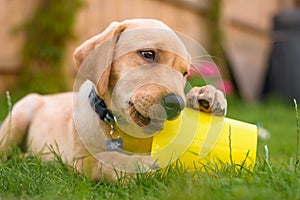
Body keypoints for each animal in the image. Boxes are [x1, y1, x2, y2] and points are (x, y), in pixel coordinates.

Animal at [0, 19, 225, 181]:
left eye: (185, 72)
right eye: (148, 54)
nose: (176, 104)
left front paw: (207, 96)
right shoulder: (81, 162)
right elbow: (107, 159)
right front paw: (139, 165)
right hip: (19, 113)